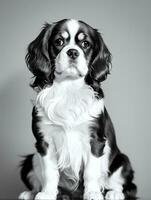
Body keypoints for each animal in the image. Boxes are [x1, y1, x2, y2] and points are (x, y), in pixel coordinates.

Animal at [18, 19, 136, 200]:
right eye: (59, 41)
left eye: (85, 44)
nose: (73, 52)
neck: (69, 87)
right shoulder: (44, 141)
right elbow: (50, 172)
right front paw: (47, 193)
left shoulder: (95, 140)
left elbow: (91, 172)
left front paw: (93, 193)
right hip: (30, 160)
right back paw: (31, 193)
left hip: (122, 160)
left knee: (120, 184)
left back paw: (113, 193)